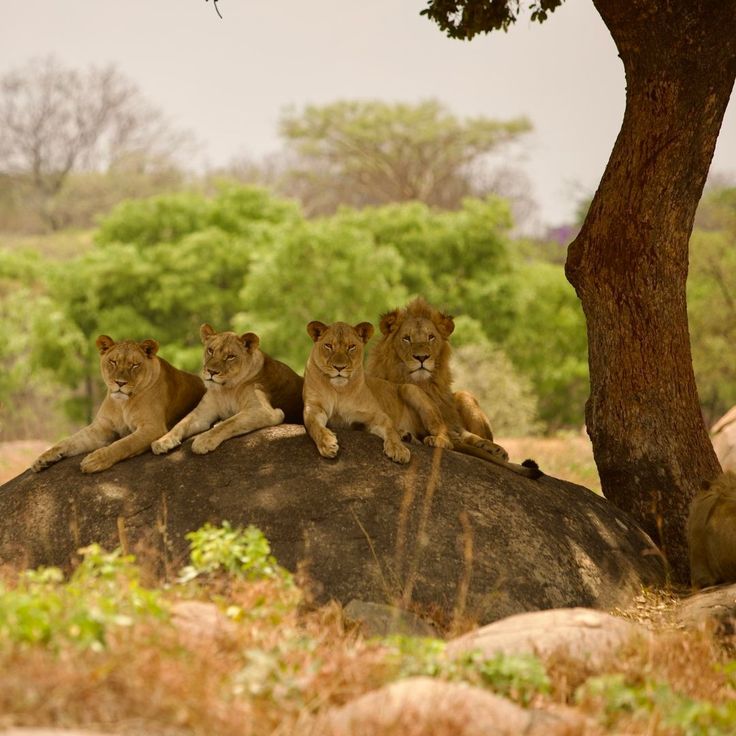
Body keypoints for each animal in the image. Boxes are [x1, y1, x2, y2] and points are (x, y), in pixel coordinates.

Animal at [32, 335, 206, 474]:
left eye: (134, 365)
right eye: (113, 361)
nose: (120, 383)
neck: (122, 404)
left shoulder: (153, 427)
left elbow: (123, 444)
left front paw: (95, 460)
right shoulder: (101, 428)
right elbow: (70, 440)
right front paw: (43, 458)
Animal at [152, 324, 303, 456]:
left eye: (230, 356)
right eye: (210, 350)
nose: (211, 372)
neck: (227, 389)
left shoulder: (264, 411)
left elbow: (230, 423)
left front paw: (203, 440)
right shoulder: (202, 412)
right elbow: (182, 423)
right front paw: (162, 441)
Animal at [303, 320, 453, 464]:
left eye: (351, 347)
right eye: (328, 346)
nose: (339, 367)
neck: (338, 390)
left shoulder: (377, 415)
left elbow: (390, 431)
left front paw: (398, 449)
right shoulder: (314, 408)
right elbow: (314, 425)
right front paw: (327, 443)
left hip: (410, 389)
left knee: (446, 437)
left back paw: (436, 440)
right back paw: (406, 435)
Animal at [366, 297, 541, 479]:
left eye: (431, 337)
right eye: (406, 338)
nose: (422, 357)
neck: (421, 383)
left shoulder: (450, 420)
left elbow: (465, 434)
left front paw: (492, 448)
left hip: (465, 396)